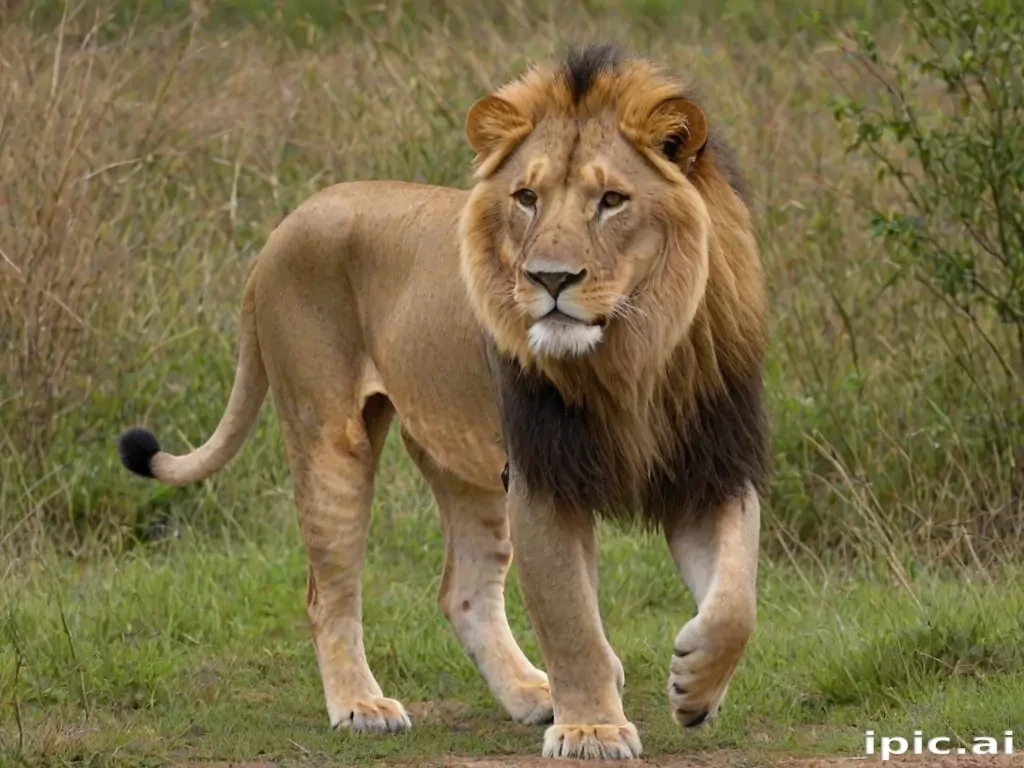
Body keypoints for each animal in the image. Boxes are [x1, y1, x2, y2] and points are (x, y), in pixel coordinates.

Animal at [116, 43, 770, 760]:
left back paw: (531, 693)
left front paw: (694, 684)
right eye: (527, 198)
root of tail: (286, 225)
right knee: (327, 592)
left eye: (612, 201)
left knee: (463, 591)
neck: (633, 356)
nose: (550, 279)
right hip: (329, 434)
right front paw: (592, 728)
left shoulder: (709, 468)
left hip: (462, 459)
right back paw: (361, 705)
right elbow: (571, 617)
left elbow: (737, 598)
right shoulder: (544, 478)